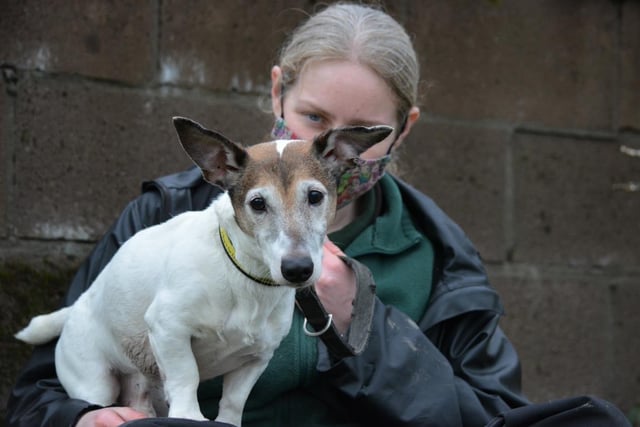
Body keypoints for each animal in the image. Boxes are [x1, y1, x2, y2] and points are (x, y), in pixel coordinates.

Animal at [15, 115, 392, 426]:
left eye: (315, 196)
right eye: (257, 203)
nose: (297, 269)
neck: (246, 278)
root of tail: (76, 306)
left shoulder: (257, 358)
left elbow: (235, 399)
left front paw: (227, 421)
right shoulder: (169, 328)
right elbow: (187, 376)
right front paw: (189, 415)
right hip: (94, 380)